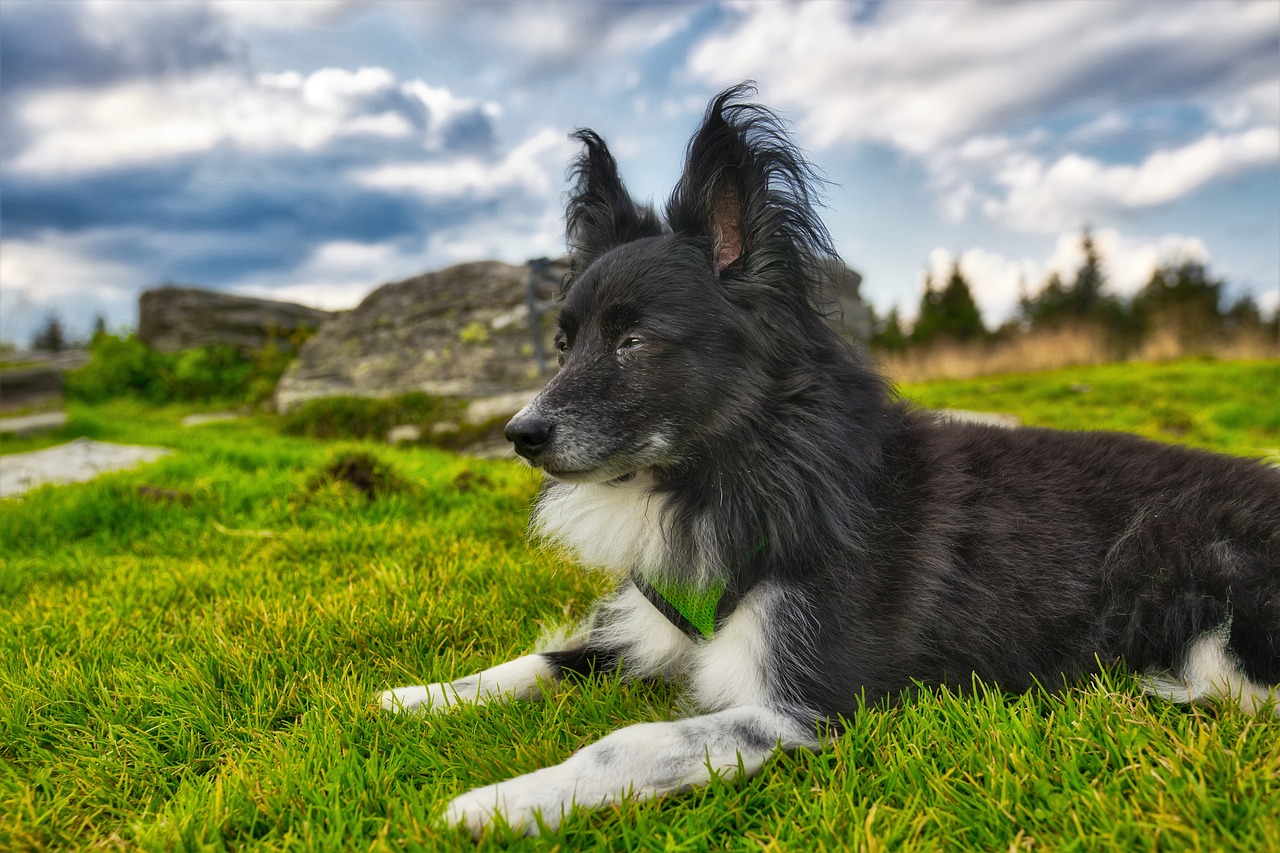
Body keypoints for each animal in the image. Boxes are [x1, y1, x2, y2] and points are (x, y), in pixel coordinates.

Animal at [378, 84, 1280, 829]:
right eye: (563, 344)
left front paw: (498, 801)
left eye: (634, 341)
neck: (741, 466)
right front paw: (416, 695)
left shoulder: (805, 705)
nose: (520, 434)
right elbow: (545, 657)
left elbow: (630, 738)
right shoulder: (653, 629)